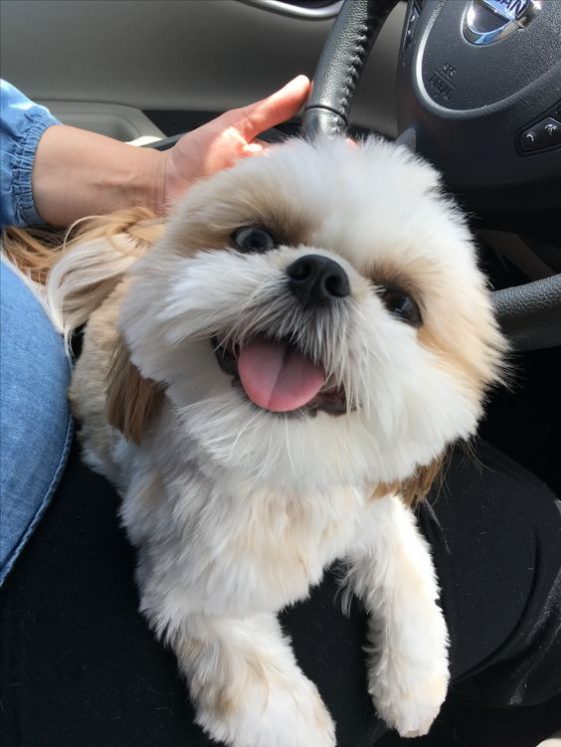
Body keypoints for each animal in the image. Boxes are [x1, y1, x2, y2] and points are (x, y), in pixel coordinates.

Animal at [5, 137, 504, 744]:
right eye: (253, 240)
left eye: (402, 303)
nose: (319, 274)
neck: (280, 461)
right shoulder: (193, 592)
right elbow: (268, 699)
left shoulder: (373, 509)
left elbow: (409, 580)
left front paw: (412, 687)